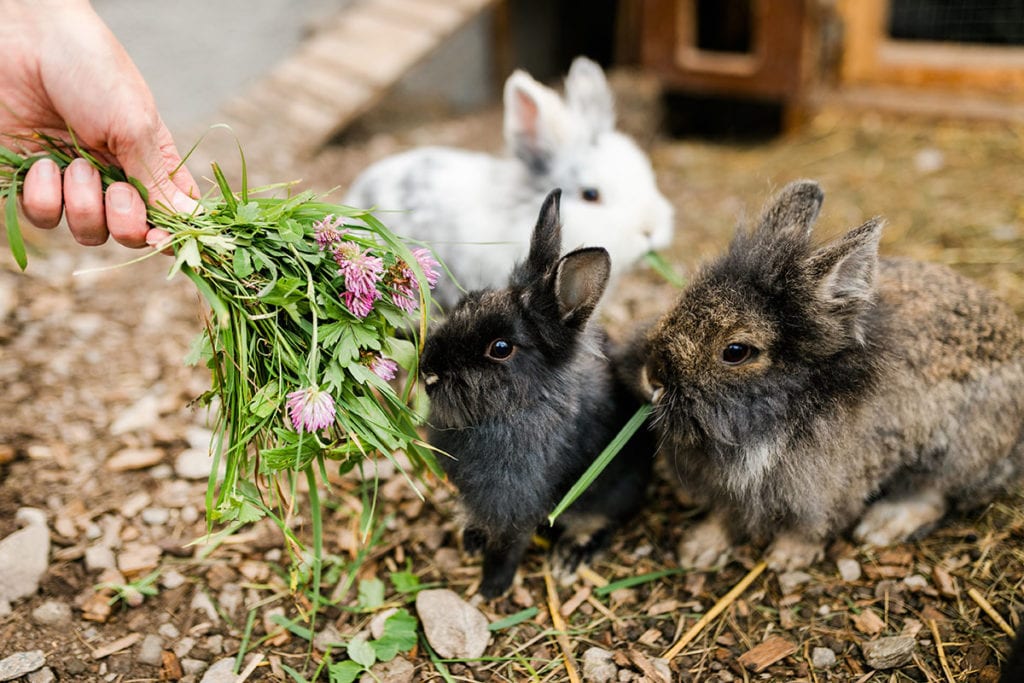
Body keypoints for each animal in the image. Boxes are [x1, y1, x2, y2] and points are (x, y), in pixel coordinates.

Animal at [638, 180, 1024, 573]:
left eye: (735, 351)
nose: (652, 378)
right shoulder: (730, 492)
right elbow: (725, 516)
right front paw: (698, 550)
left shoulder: (831, 488)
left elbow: (813, 525)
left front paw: (787, 558)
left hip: (961, 451)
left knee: (936, 493)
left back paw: (882, 526)